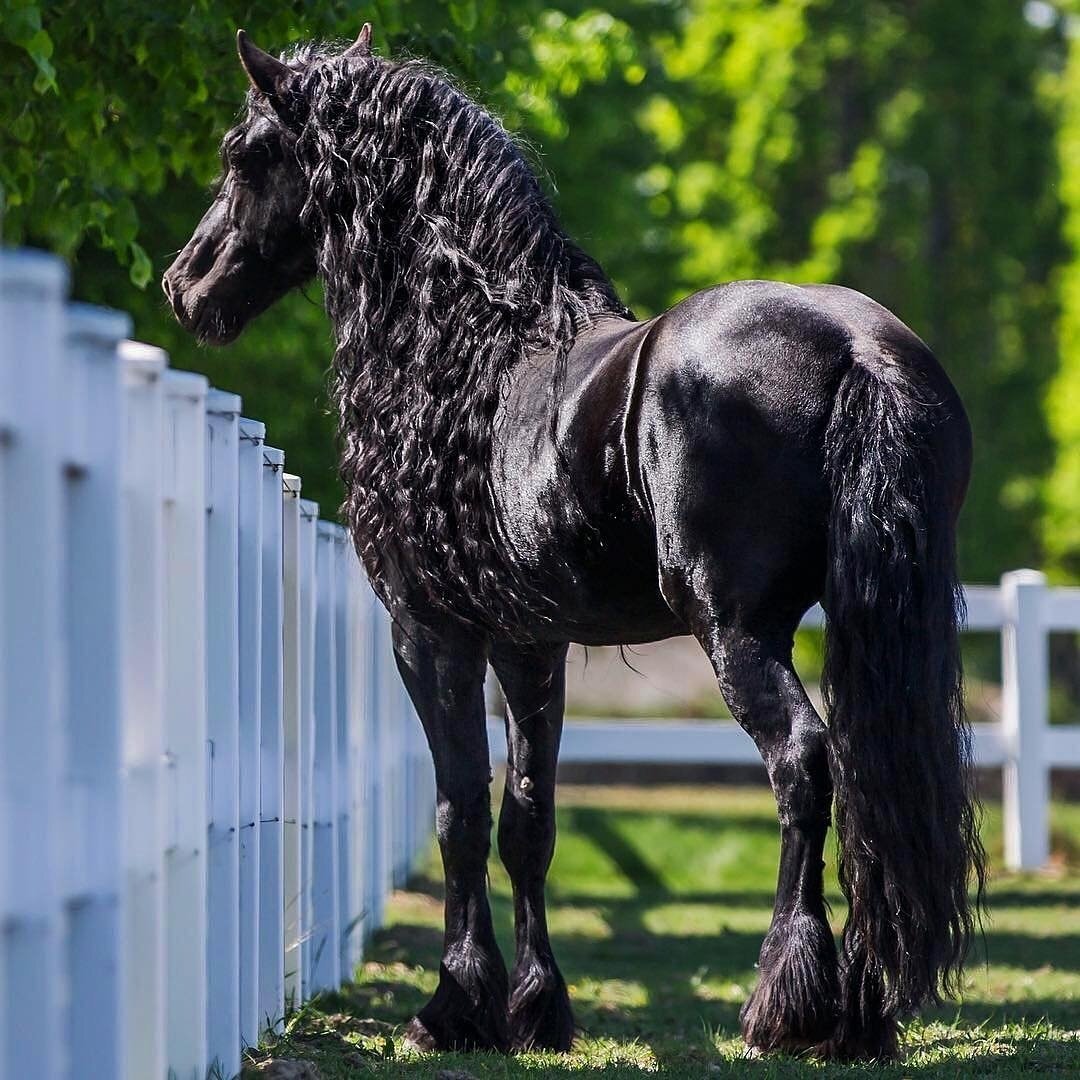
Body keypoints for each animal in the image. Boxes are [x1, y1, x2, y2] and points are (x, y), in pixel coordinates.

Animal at [162, 25, 989, 1062]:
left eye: (245, 154)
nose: (183, 285)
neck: (467, 356)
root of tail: (856, 345)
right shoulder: (532, 645)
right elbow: (530, 821)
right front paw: (537, 1009)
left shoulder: (430, 634)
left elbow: (461, 812)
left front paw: (453, 1007)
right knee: (881, 784)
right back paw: (864, 1015)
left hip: (736, 630)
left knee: (803, 762)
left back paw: (785, 1002)